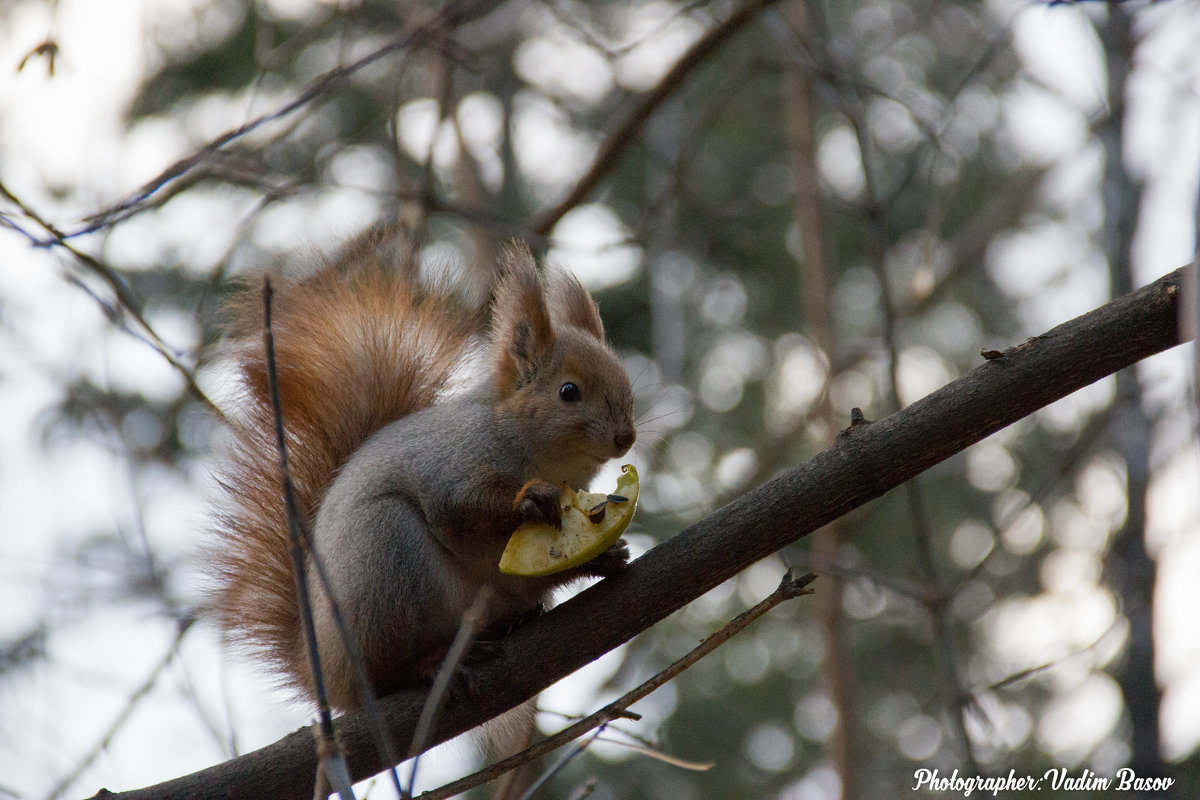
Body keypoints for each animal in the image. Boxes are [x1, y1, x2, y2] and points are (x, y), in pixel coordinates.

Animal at [211, 237, 638, 705]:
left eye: (627, 385)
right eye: (568, 391)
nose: (626, 437)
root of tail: (323, 674)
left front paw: (604, 554)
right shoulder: (450, 466)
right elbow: (462, 512)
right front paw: (529, 500)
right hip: (390, 560)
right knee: (387, 670)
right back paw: (428, 664)